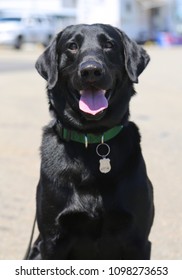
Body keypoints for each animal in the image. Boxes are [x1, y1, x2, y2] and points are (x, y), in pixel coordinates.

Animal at [27, 24, 155, 260]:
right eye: (72, 46)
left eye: (109, 44)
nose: (91, 71)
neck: (93, 139)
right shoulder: (52, 242)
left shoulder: (138, 241)